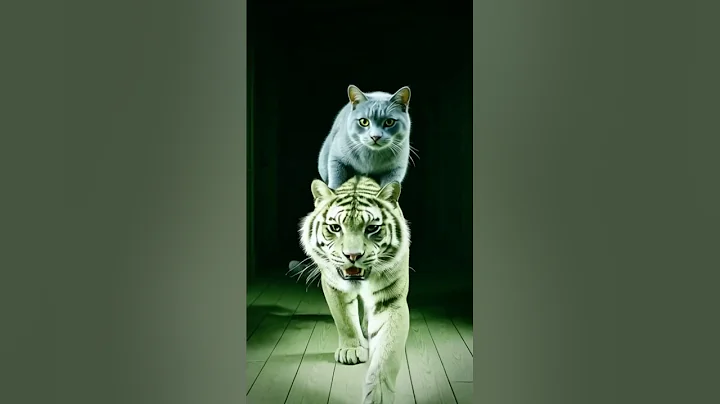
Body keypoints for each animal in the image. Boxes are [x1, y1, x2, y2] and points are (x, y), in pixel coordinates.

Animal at [295, 175, 411, 404]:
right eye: (335, 227)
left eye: (372, 228)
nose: (353, 255)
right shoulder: (333, 285)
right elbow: (345, 320)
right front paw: (352, 350)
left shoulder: (392, 301)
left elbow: (388, 350)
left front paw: (378, 394)